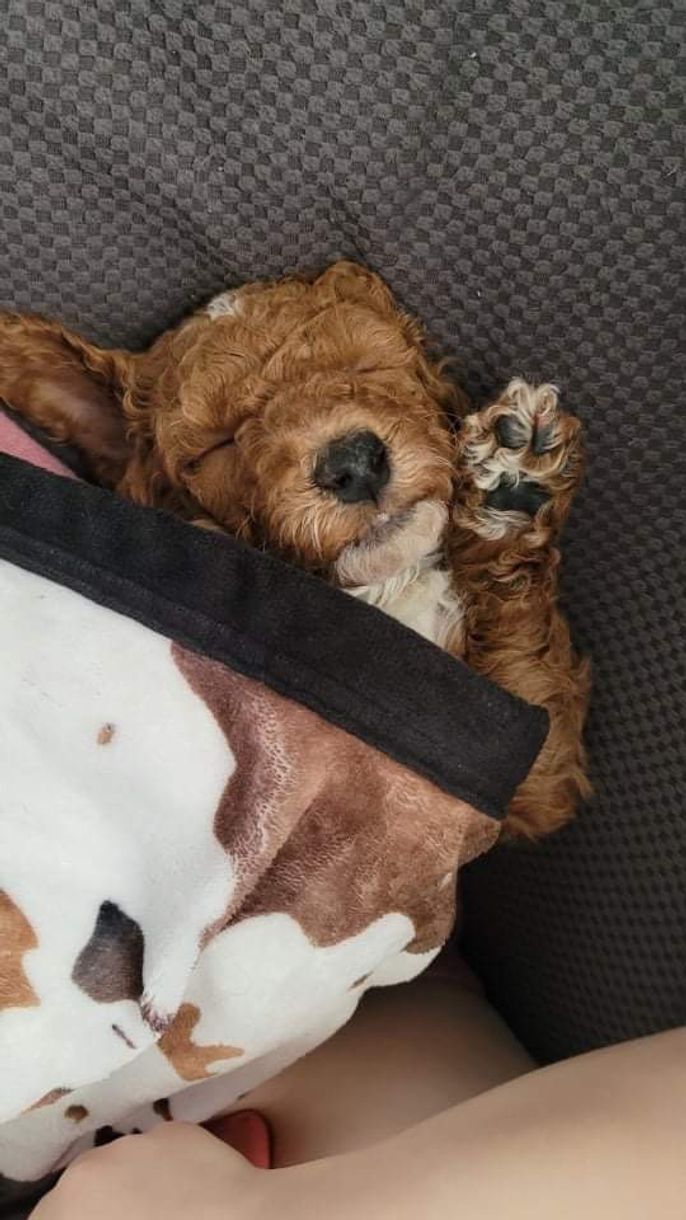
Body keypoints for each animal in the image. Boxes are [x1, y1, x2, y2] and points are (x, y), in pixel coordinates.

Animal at [0, 260, 590, 835]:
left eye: (366, 367)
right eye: (218, 446)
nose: (352, 463)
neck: (386, 593)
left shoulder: (520, 768)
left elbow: (524, 669)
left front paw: (512, 484)